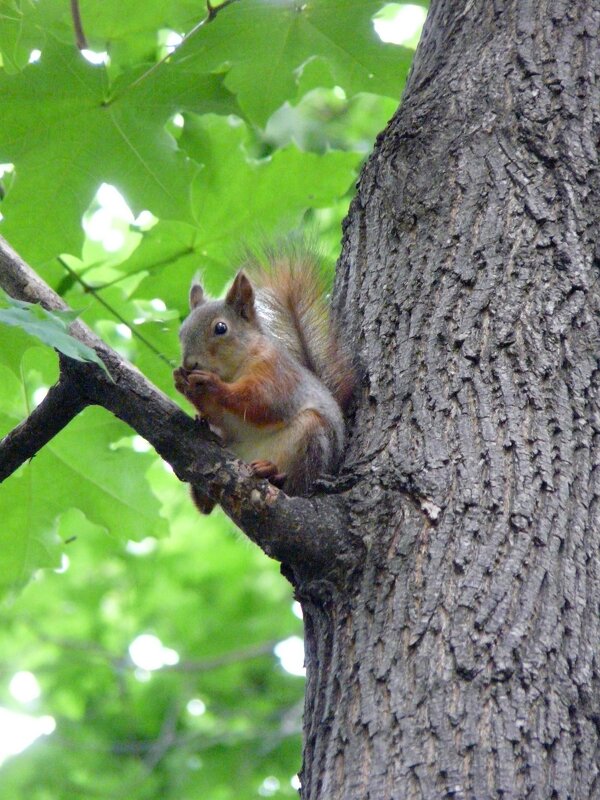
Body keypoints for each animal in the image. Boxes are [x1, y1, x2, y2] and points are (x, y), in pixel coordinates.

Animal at [172, 247, 352, 516]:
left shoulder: (277, 373)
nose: (189, 364)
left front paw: (210, 385)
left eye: (221, 328)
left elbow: (262, 402)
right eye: (181, 332)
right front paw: (185, 386)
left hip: (314, 437)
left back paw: (273, 473)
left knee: (298, 485)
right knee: (205, 505)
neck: (235, 369)